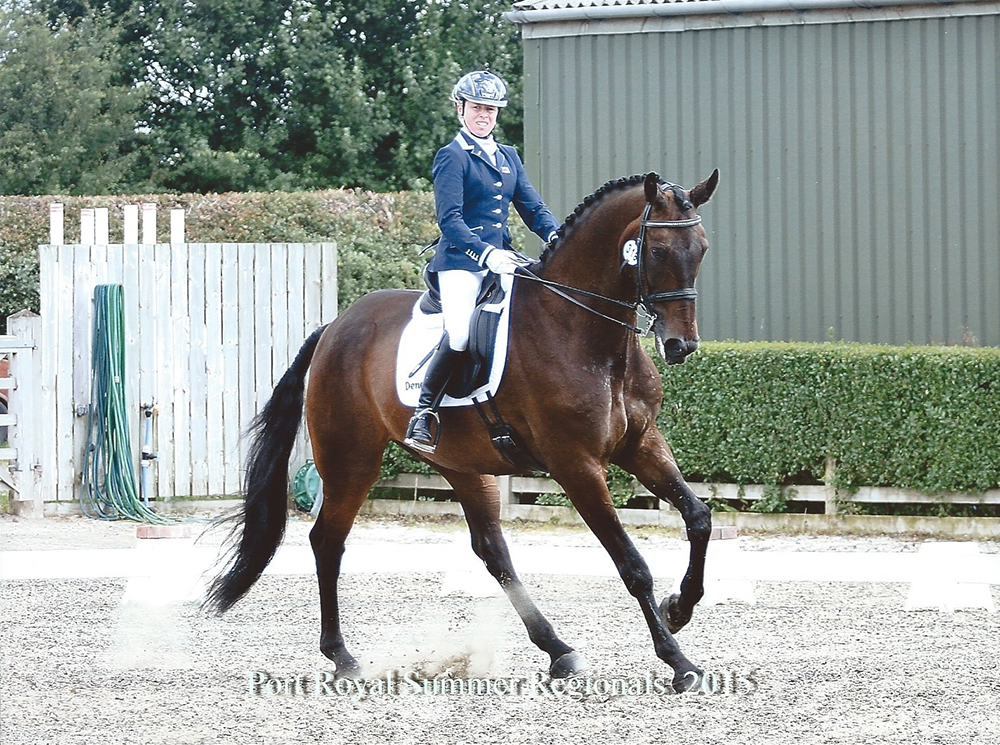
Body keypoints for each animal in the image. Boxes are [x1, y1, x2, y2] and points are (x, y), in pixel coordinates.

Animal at [207, 169, 720, 692]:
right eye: (658, 250)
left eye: (700, 247)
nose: (680, 346)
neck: (580, 330)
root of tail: (334, 326)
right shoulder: (577, 465)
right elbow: (632, 565)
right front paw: (679, 660)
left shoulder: (641, 444)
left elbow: (699, 517)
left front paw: (679, 609)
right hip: (351, 459)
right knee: (327, 541)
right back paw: (342, 656)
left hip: (460, 464)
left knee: (492, 552)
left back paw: (558, 650)